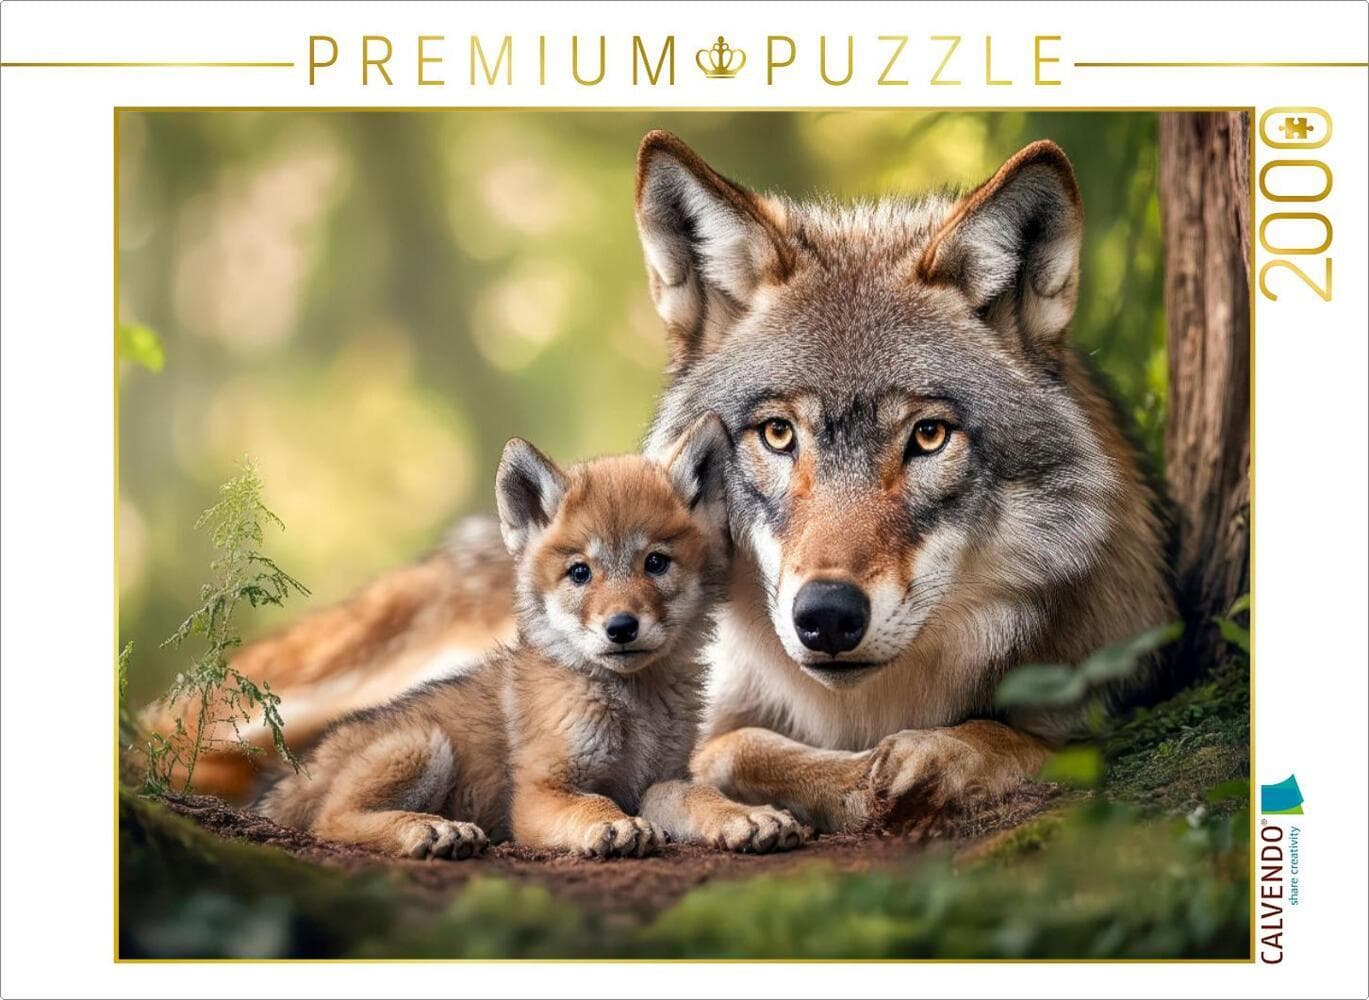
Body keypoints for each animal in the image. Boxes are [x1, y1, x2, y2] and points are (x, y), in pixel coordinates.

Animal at [259, 417, 803, 857]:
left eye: (656, 563)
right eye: (580, 573)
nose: (621, 627)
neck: (631, 707)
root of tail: (307, 766)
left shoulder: (661, 780)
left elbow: (699, 796)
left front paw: (745, 817)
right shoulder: (542, 793)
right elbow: (594, 805)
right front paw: (613, 827)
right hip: (426, 743)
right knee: (332, 822)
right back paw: (433, 830)